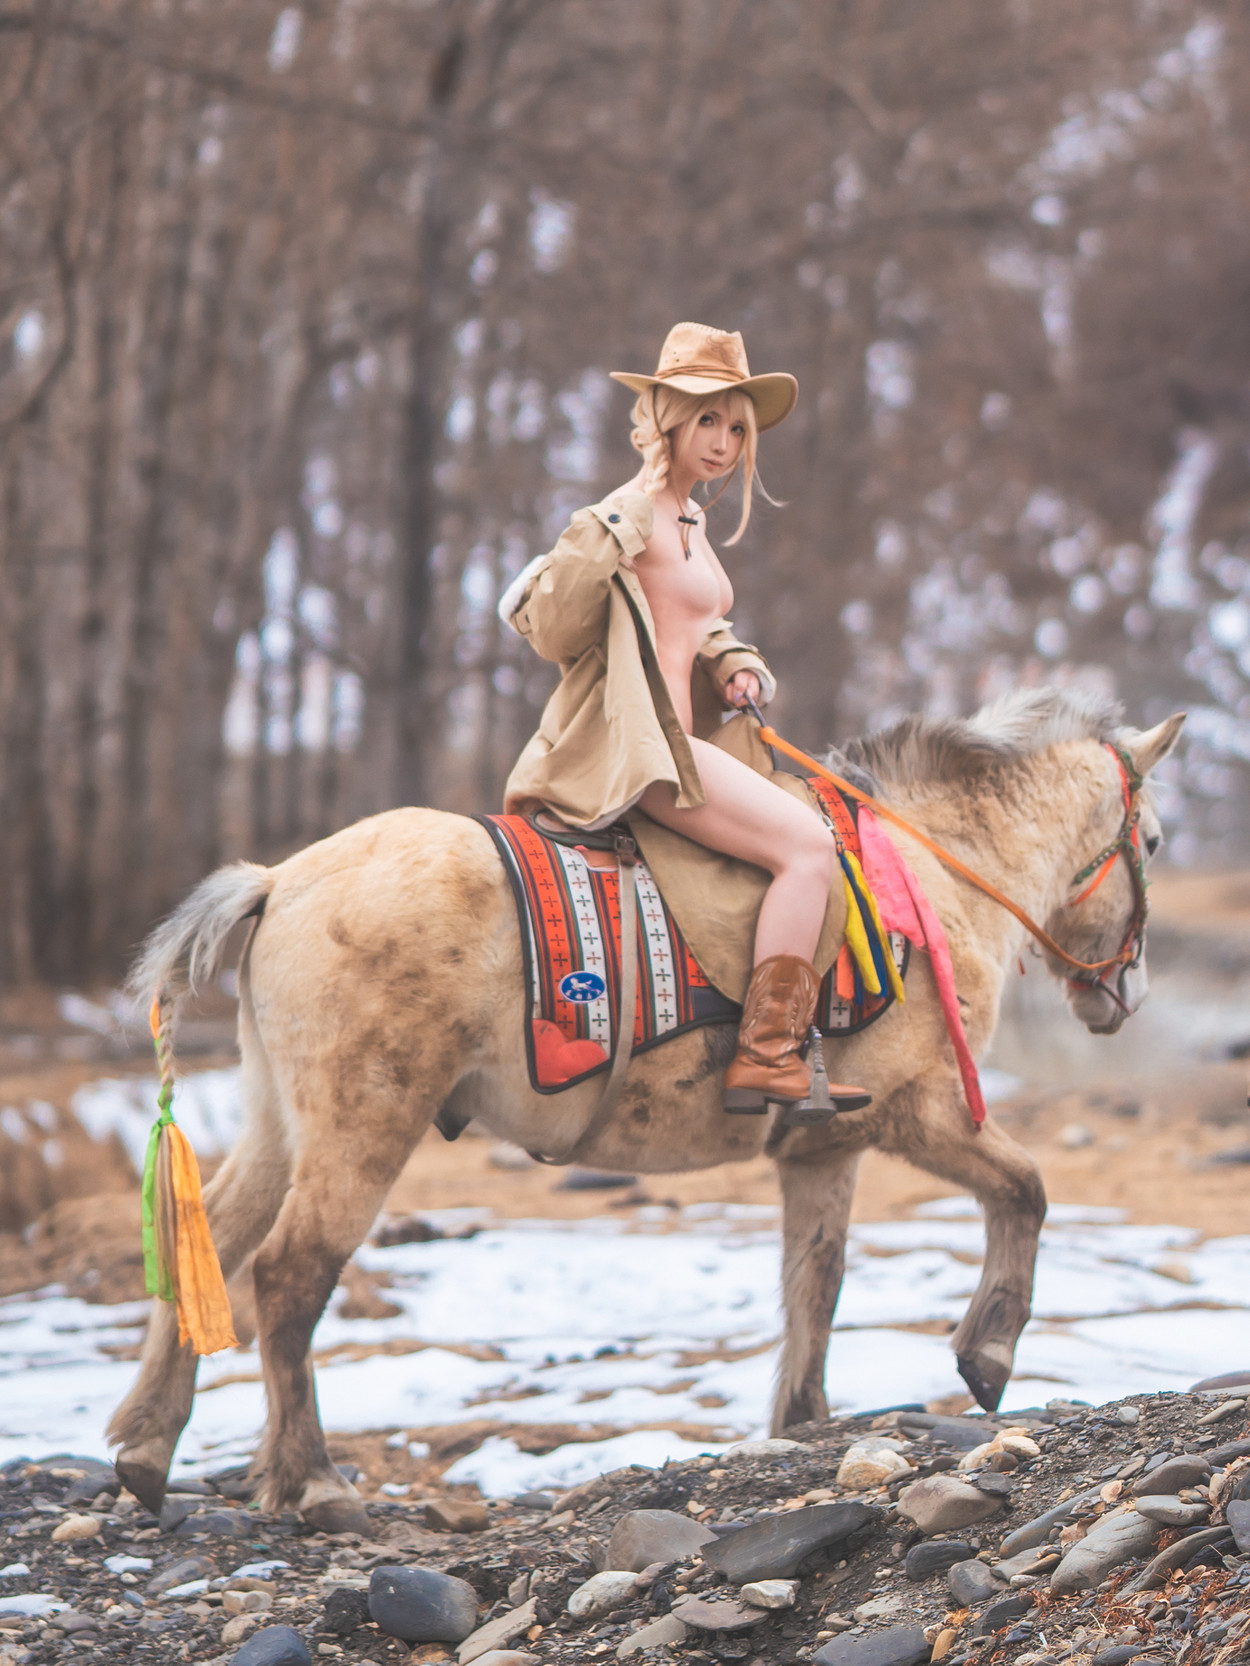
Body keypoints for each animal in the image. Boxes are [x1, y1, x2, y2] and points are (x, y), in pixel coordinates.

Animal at [105, 689, 1186, 1532]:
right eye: (1152, 840)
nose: (1122, 994)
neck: (930, 872)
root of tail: (278, 881)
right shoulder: (919, 1112)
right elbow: (1024, 1189)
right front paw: (986, 1353)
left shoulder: (821, 1147)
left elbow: (815, 1283)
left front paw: (801, 1420)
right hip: (361, 1125)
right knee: (288, 1274)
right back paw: (312, 1482)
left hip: (278, 1120)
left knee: (210, 1241)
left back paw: (147, 1447)